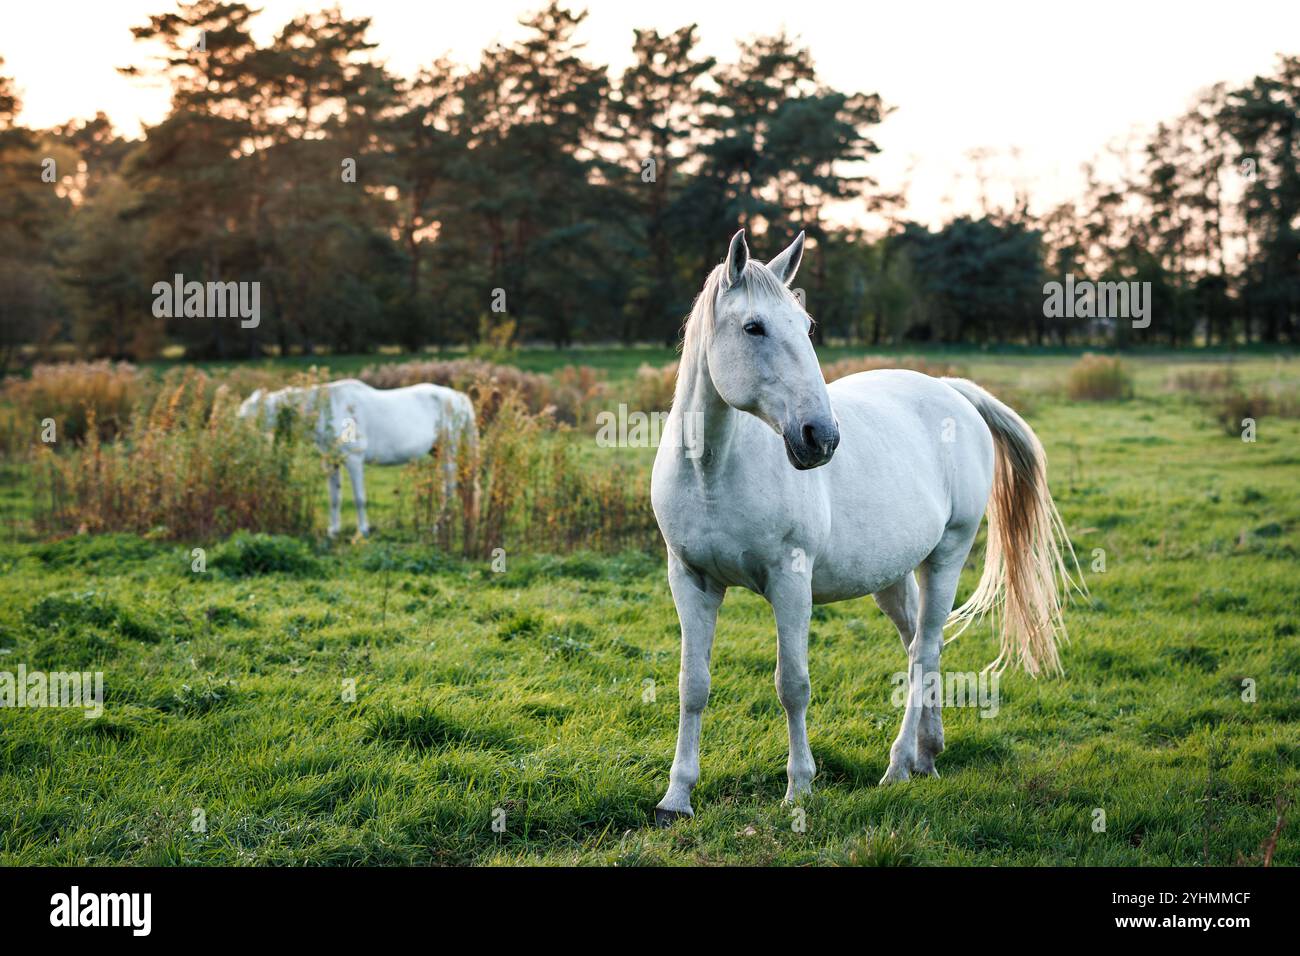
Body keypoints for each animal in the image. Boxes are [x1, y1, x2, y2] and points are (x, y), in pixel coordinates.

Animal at [237, 378, 476, 538]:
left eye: (248, 417)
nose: (240, 449)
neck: (329, 409)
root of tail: (459, 398)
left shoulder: (354, 460)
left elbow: (359, 498)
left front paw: (363, 531)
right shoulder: (331, 462)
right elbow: (335, 497)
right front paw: (333, 531)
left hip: (448, 450)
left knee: (450, 487)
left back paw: (439, 525)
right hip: (438, 452)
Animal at [650, 229, 1079, 824]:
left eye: (806, 326)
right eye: (753, 327)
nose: (821, 437)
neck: (712, 470)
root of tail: (952, 391)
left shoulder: (791, 581)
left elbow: (792, 684)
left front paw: (800, 789)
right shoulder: (689, 580)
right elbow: (693, 684)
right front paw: (677, 797)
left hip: (947, 556)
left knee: (923, 650)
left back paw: (898, 765)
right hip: (893, 578)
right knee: (922, 646)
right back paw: (928, 754)